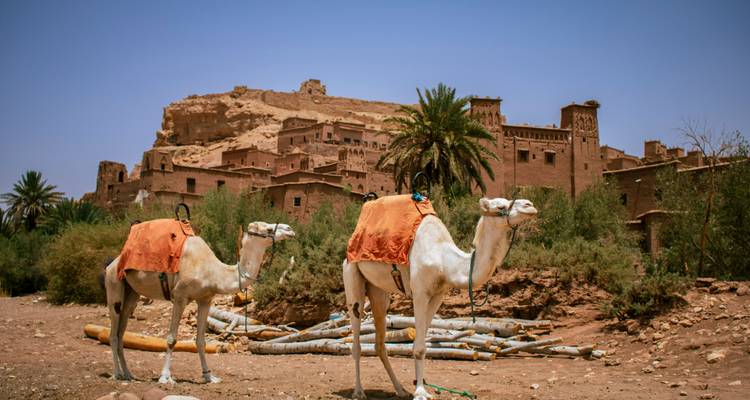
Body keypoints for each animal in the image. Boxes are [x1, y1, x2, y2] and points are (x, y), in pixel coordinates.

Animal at [104, 221, 295, 384]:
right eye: (268, 229)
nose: (290, 229)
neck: (214, 272)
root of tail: (112, 263)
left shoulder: (205, 300)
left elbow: (201, 340)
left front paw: (209, 376)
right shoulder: (179, 297)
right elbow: (172, 339)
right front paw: (165, 377)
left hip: (132, 293)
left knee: (121, 331)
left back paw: (128, 374)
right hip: (114, 284)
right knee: (113, 332)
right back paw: (117, 374)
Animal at [343, 197, 537, 400]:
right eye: (500, 206)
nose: (530, 206)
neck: (444, 260)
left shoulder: (438, 295)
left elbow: (422, 344)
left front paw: (418, 387)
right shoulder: (419, 292)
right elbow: (419, 347)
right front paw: (420, 392)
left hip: (378, 290)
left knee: (379, 342)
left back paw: (400, 390)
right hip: (351, 275)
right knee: (356, 338)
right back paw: (358, 391)